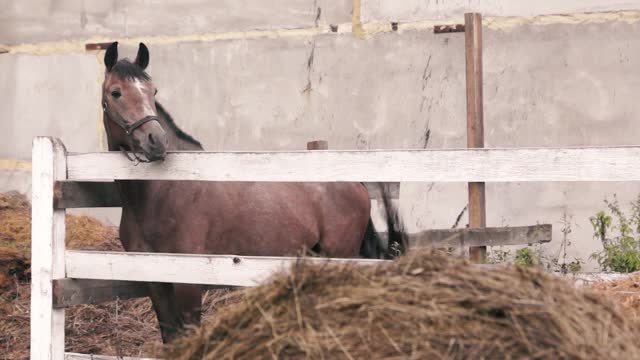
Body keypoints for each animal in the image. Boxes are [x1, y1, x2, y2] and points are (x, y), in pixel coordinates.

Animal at [102, 42, 408, 344]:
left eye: (153, 91)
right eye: (116, 92)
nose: (156, 141)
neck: (161, 192)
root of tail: (355, 182)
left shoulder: (188, 282)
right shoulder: (154, 280)